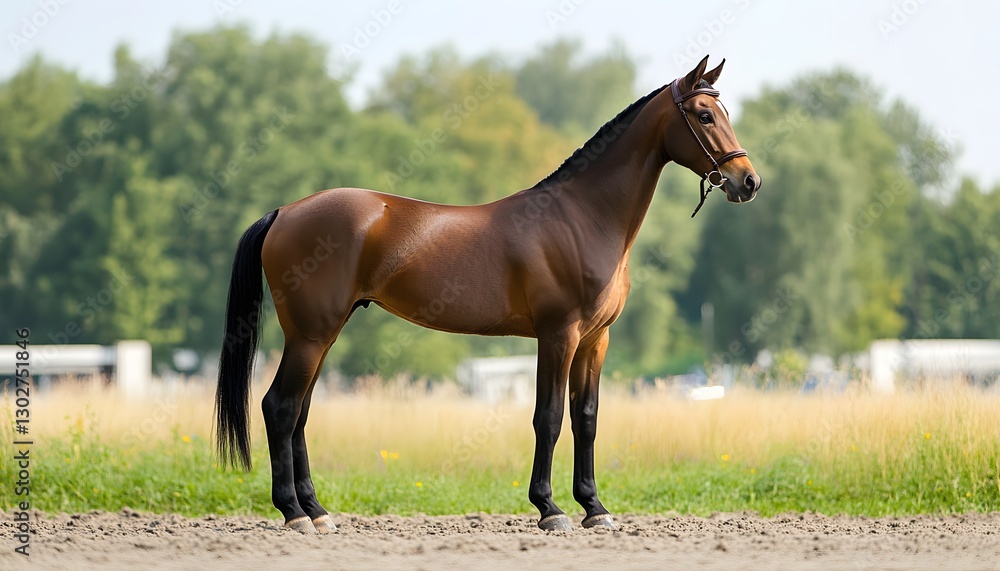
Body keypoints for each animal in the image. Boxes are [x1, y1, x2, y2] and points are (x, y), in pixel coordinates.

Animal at [215, 55, 760, 533]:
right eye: (705, 115)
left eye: (726, 113)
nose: (748, 181)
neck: (581, 218)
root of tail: (284, 212)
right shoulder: (558, 335)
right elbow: (548, 418)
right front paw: (550, 509)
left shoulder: (594, 340)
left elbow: (586, 419)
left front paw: (595, 508)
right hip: (310, 335)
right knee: (279, 408)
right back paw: (294, 514)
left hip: (321, 336)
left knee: (299, 415)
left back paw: (318, 511)